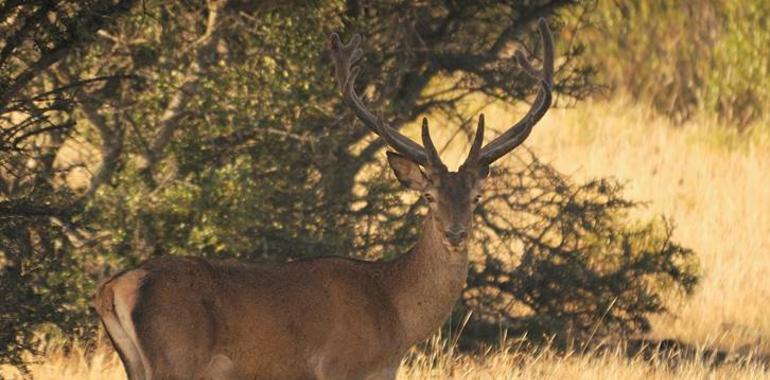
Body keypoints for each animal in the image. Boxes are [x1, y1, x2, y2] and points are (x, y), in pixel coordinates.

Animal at [94, 17, 552, 380]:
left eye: (476, 196)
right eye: (428, 196)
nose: (456, 233)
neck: (395, 317)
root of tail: (113, 287)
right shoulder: (339, 366)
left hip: (138, 364)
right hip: (176, 357)